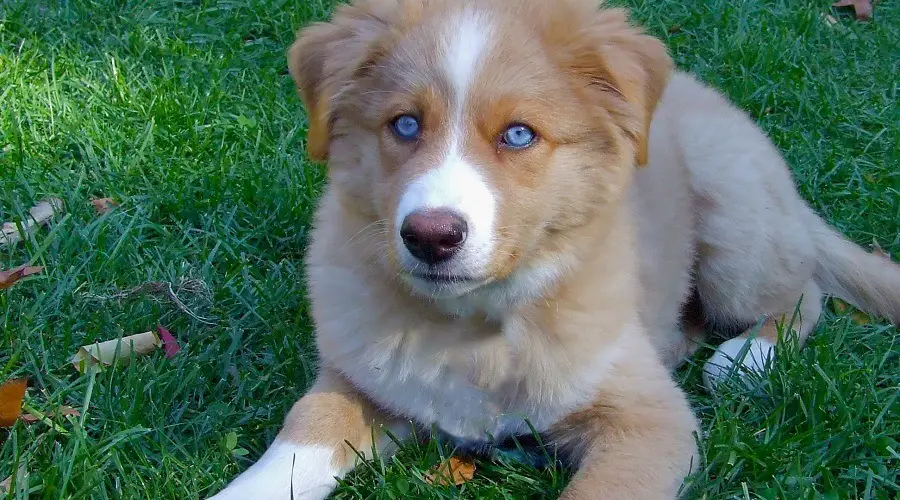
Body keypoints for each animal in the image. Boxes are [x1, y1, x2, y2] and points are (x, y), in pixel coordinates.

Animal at [206, 0, 900, 496]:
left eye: (518, 135)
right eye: (404, 125)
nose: (430, 236)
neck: (471, 328)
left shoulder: (650, 422)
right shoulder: (357, 381)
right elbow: (297, 442)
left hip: (735, 219)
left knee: (805, 290)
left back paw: (749, 358)